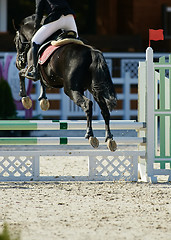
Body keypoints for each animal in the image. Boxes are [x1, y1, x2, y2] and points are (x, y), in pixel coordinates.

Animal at [13, 15, 117, 151]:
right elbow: (42, 82)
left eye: (16, 41)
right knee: (104, 110)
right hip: (95, 90)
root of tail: (92, 53)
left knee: (87, 104)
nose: (18, 63)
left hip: (71, 90)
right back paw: (110, 139)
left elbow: (22, 75)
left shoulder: (30, 70)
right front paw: (43, 100)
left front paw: (25, 98)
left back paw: (90, 135)